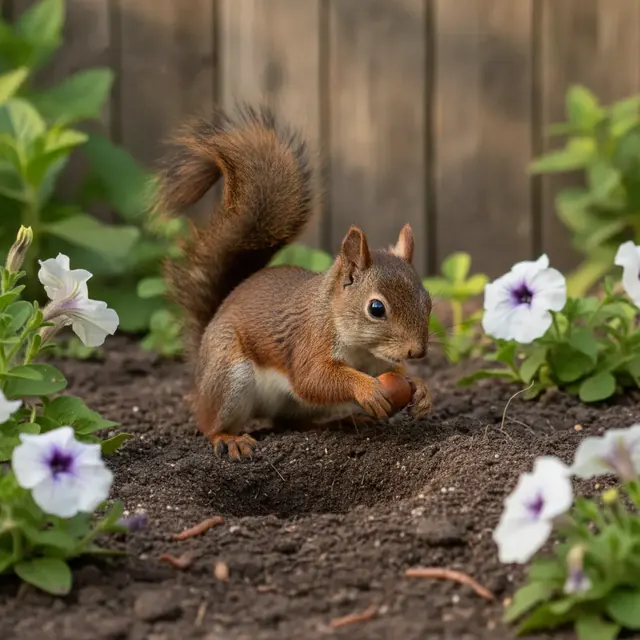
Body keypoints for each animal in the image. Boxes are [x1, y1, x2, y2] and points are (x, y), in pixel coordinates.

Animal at [153, 104, 433, 460]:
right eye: (376, 308)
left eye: (428, 301)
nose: (417, 351)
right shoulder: (308, 341)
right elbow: (313, 378)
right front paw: (366, 389)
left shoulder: (376, 359)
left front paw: (420, 389)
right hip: (228, 377)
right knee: (210, 423)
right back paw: (228, 438)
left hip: (296, 405)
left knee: (294, 422)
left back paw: (342, 422)